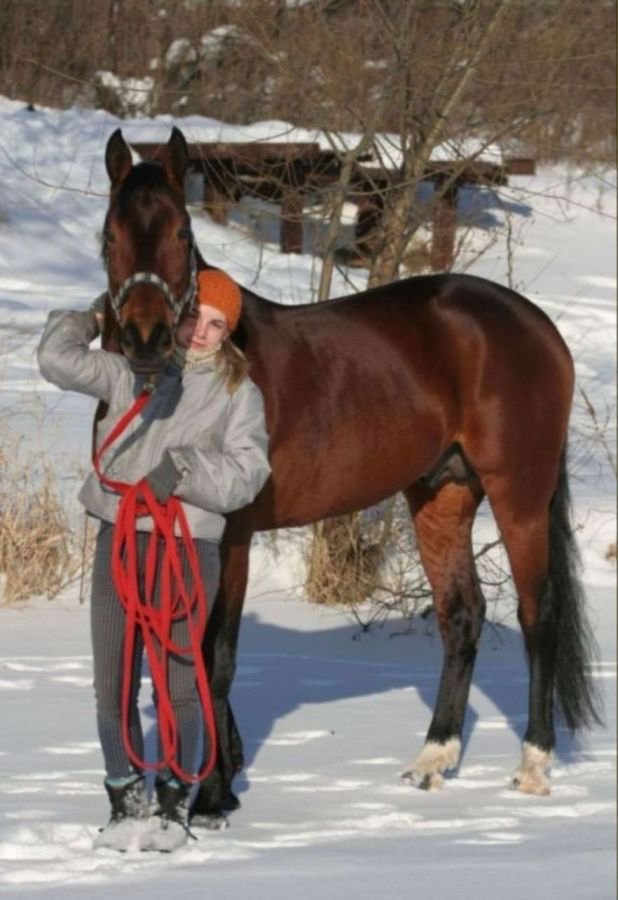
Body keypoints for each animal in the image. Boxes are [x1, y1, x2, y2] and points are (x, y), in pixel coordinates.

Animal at [100, 128, 596, 828]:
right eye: (112, 233)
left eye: (179, 231)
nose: (145, 337)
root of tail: (535, 324)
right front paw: (225, 772)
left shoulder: (233, 535)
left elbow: (216, 656)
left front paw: (215, 795)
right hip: (442, 493)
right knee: (461, 614)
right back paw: (431, 761)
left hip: (519, 494)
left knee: (538, 614)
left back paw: (533, 767)